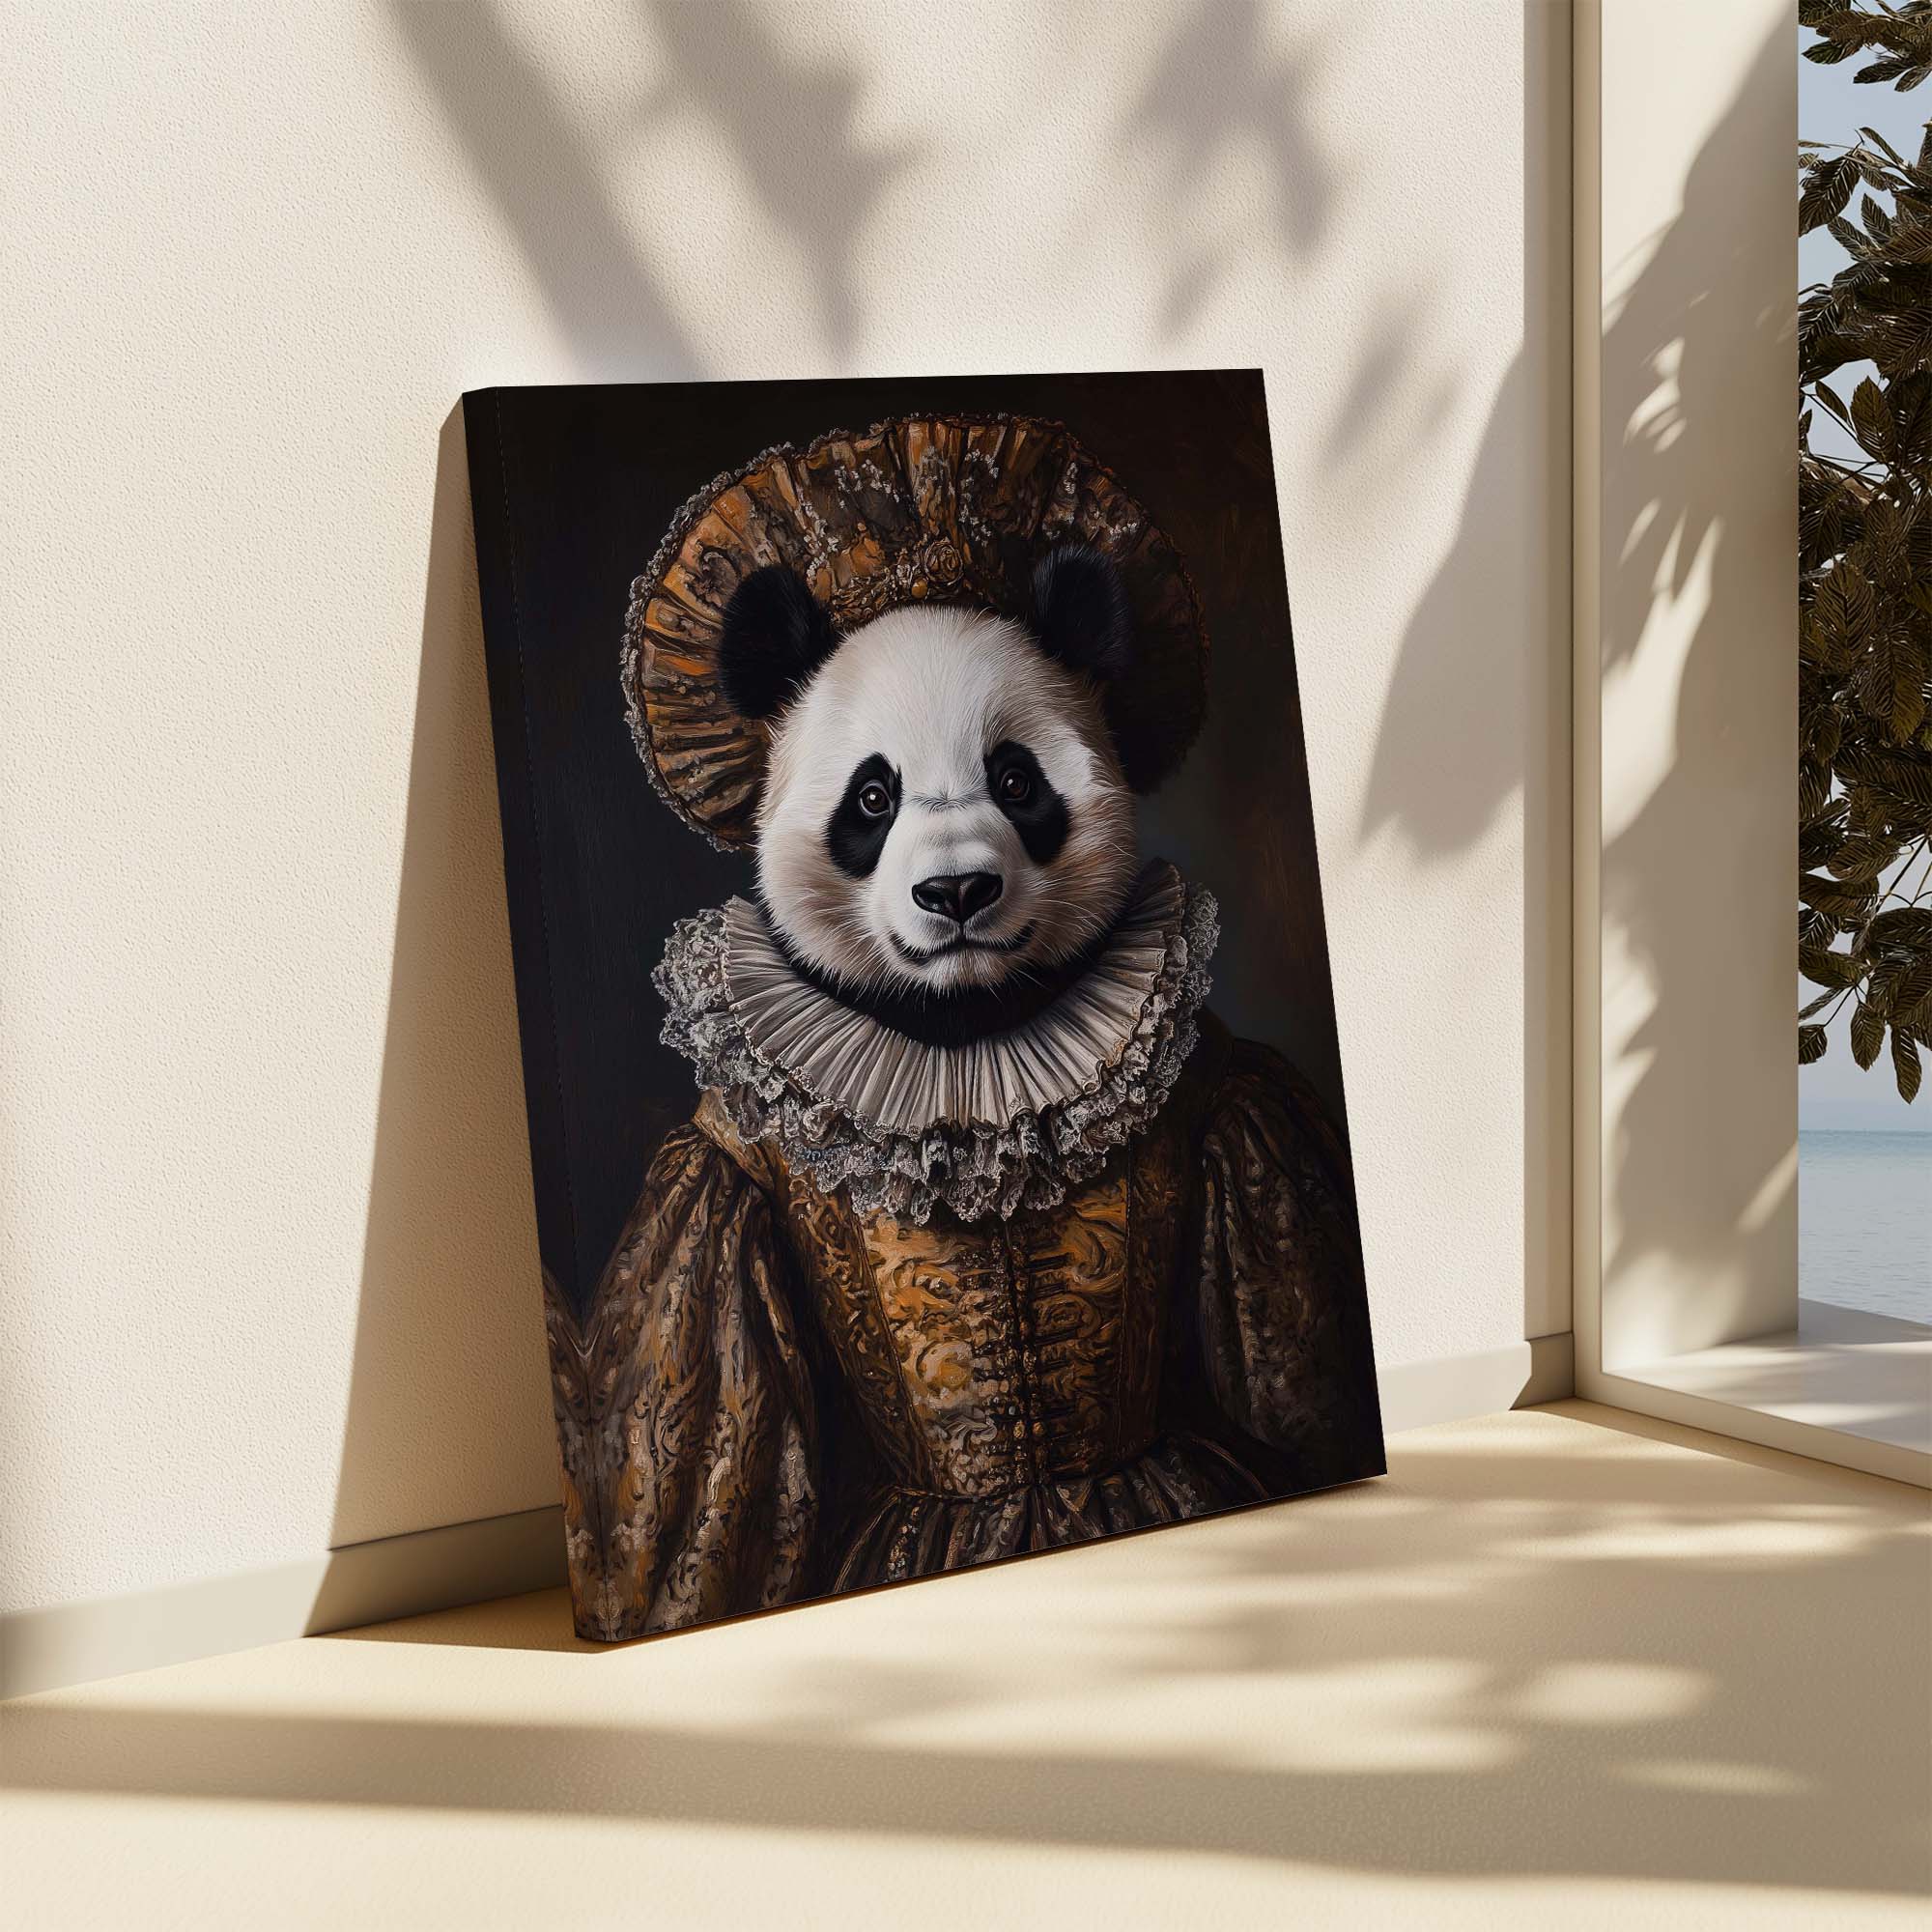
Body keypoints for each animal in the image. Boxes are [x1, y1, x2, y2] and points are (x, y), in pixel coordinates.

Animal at [551, 516, 1383, 1645]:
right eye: (873, 795)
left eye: (1017, 781)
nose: (955, 891)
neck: (963, 1039)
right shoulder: (717, 1168)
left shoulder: (1230, 1096)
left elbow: (1291, 1366)